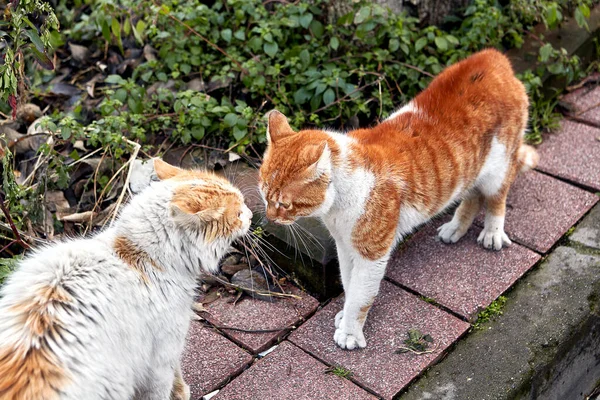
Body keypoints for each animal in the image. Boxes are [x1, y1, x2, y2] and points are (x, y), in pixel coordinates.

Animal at [258, 49, 540, 350]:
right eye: (264, 195)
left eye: (284, 204)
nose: (270, 218)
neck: (338, 205)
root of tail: (492, 56)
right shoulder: (344, 245)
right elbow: (348, 283)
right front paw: (344, 315)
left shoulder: (372, 253)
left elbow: (360, 295)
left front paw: (350, 331)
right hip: (469, 171)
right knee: (473, 197)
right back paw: (455, 228)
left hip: (498, 169)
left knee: (496, 198)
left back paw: (492, 232)